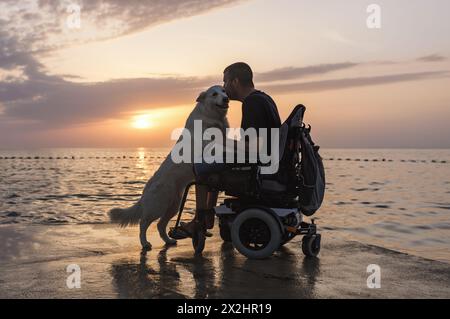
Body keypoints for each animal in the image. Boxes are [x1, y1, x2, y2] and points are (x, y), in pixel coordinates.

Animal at [109, 86, 229, 251]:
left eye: (224, 91)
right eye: (214, 94)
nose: (226, 98)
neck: (210, 116)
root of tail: (144, 192)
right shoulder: (207, 146)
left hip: (174, 206)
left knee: (160, 225)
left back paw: (168, 240)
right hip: (158, 206)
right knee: (143, 223)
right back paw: (145, 243)